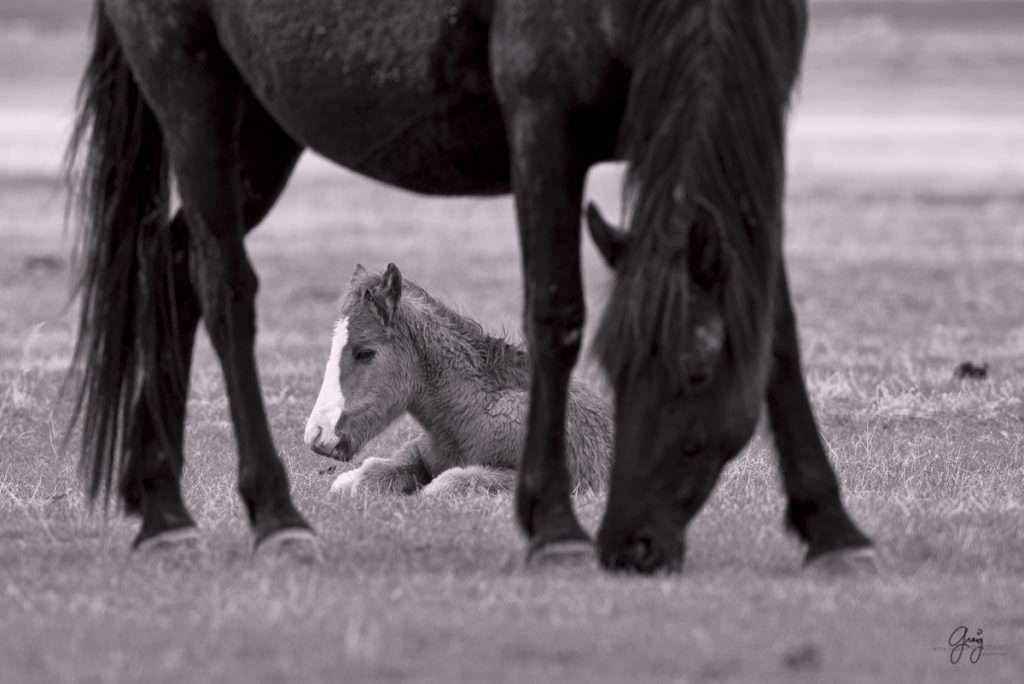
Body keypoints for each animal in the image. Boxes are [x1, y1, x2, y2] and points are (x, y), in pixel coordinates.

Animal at [299, 264, 610, 497]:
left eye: (365, 352)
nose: (316, 434)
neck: (468, 418)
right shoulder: (418, 452)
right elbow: (362, 477)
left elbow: (442, 486)